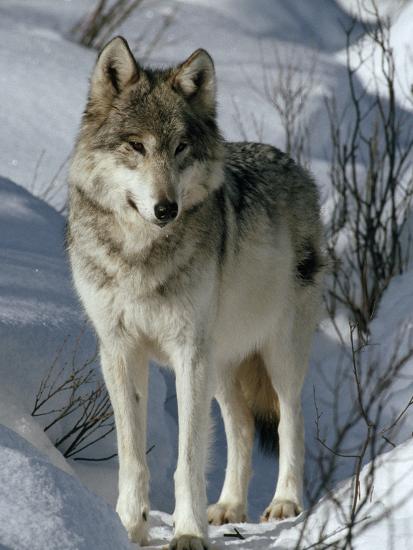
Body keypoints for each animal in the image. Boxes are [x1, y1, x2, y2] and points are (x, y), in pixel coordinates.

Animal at [67, 36, 326, 548]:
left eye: (180, 147)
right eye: (137, 146)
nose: (166, 208)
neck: (140, 256)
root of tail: (294, 165)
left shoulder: (188, 353)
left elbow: (187, 460)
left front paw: (188, 533)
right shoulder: (119, 350)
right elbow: (133, 457)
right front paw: (129, 526)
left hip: (276, 354)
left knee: (291, 422)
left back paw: (284, 503)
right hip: (222, 363)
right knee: (241, 428)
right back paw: (228, 507)